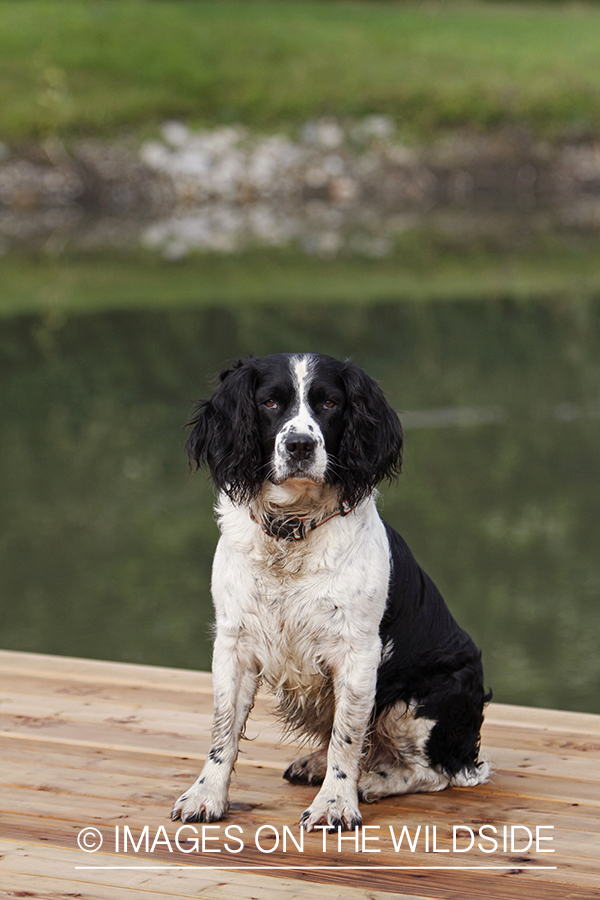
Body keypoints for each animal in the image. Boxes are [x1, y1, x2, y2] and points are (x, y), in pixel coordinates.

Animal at [171, 356, 490, 832]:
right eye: (269, 402)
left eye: (329, 403)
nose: (300, 445)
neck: (293, 532)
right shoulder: (234, 643)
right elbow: (222, 729)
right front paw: (205, 796)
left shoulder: (357, 652)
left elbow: (348, 738)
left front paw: (336, 803)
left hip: (422, 700)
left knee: (433, 773)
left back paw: (371, 781)